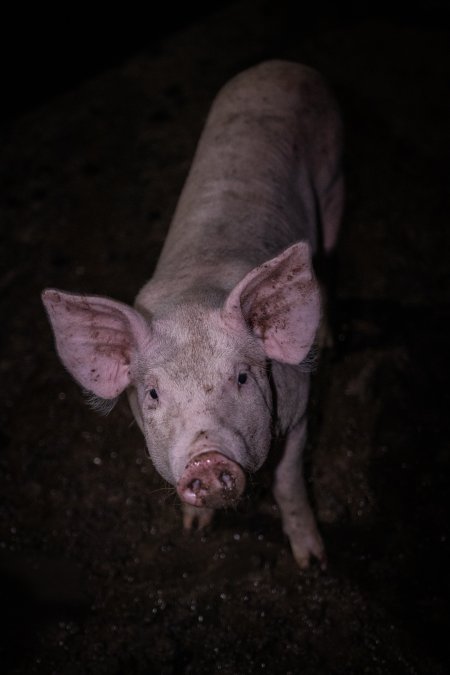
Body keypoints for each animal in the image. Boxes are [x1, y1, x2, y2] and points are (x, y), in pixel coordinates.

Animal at [43, 59, 344, 572]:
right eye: (152, 393)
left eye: (242, 377)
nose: (207, 459)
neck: (194, 295)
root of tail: (280, 65)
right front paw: (194, 528)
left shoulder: (302, 410)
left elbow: (287, 480)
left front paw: (313, 562)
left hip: (334, 179)